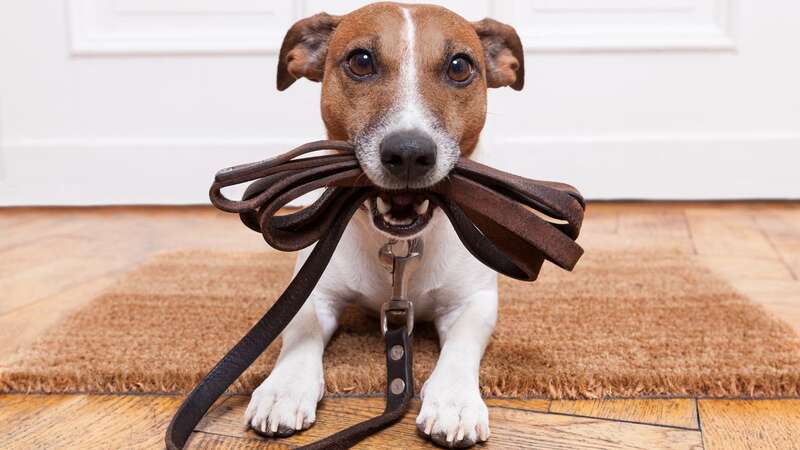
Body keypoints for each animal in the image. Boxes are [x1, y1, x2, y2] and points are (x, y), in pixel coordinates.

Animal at [244, 2, 524, 446]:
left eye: (459, 66)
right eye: (361, 61)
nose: (409, 153)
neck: (399, 246)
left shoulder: (473, 302)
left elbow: (461, 346)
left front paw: (453, 400)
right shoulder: (314, 292)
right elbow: (300, 331)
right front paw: (283, 388)